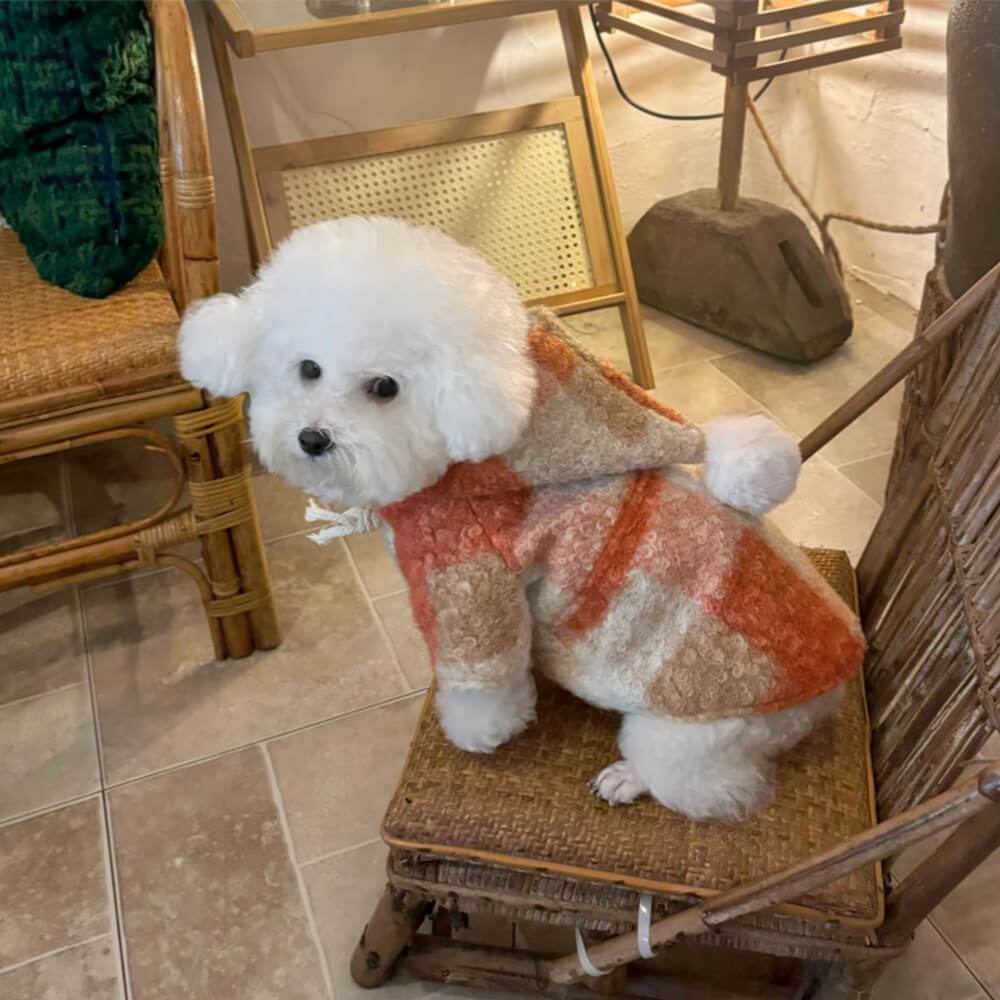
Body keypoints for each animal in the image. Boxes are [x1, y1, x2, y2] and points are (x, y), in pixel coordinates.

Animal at [180, 219, 860, 820]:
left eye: (385, 387)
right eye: (308, 369)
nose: (313, 438)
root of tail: (834, 686)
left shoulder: (470, 581)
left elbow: (483, 682)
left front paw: (478, 733)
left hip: (691, 731)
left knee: (709, 787)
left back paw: (630, 778)